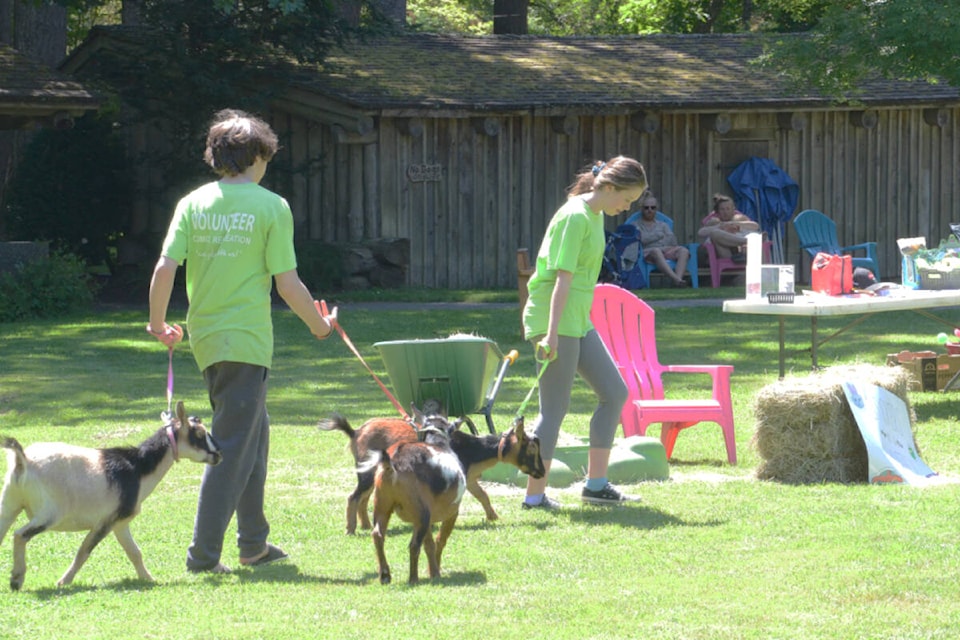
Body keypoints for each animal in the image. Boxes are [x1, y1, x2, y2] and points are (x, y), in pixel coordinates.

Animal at [0, 400, 221, 592]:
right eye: (199, 434)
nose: (218, 454)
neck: (138, 470)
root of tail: (23, 462)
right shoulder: (105, 521)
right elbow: (84, 552)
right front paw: (63, 582)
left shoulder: (120, 523)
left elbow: (135, 552)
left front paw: (149, 579)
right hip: (49, 514)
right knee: (20, 535)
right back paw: (16, 579)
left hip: (9, 503)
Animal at [318, 410, 544, 536]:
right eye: (532, 449)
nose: (541, 472)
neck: (470, 449)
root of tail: (355, 432)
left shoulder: (469, 478)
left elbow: (483, 495)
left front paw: (493, 517)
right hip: (367, 471)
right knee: (354, 496)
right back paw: (351, 529)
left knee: (363, 497)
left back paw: (365, 525)